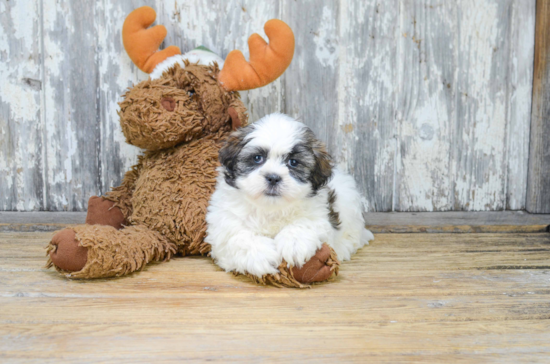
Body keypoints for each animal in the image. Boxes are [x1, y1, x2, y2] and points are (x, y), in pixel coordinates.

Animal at [207, 114, 376, 276]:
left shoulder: (319, 214)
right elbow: (237, 237)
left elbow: (304, 223)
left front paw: (294, 244)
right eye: (257, 158)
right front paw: (261, 255)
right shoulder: (223, 224)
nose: (273, 177)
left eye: (293, 162)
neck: (270, 209)